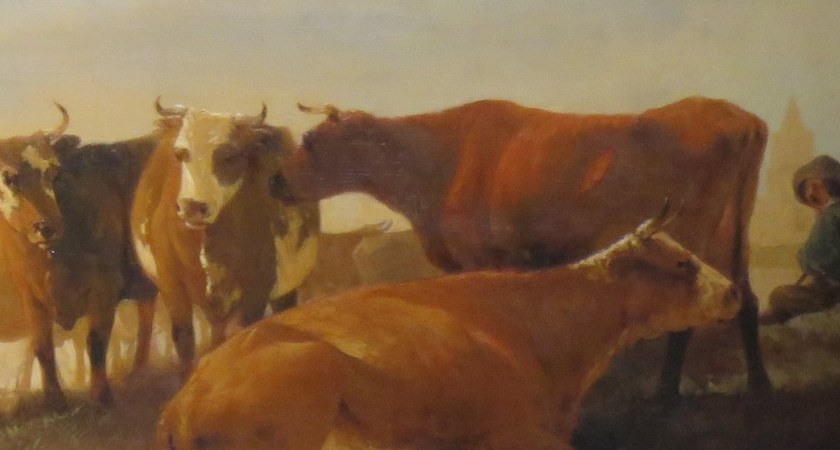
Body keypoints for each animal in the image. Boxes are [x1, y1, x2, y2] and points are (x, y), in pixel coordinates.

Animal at [0, 104, 157, 406]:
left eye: (52, 171)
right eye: (9, 177)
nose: (47, 227)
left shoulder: (105, 288)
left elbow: (96, 341)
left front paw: (101, 397)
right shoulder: (31, 297)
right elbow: (42, 347)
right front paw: (54, 400)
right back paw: (139, 373)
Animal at [131, 99, 319, 379]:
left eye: (229, 155)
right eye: (180, 153)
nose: (193, 207)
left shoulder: (259, 282)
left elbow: (245, 333)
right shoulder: (170, 279)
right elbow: (184, 338)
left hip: (284, 288)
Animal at [283, 97, 771, 398]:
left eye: (310, 141)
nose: (275, 181)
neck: (437, 163)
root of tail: (738, 116)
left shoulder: (488, 258)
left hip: (698, 229)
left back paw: (666, 392)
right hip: (736, 230)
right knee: (746, 299)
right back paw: (759, 386)